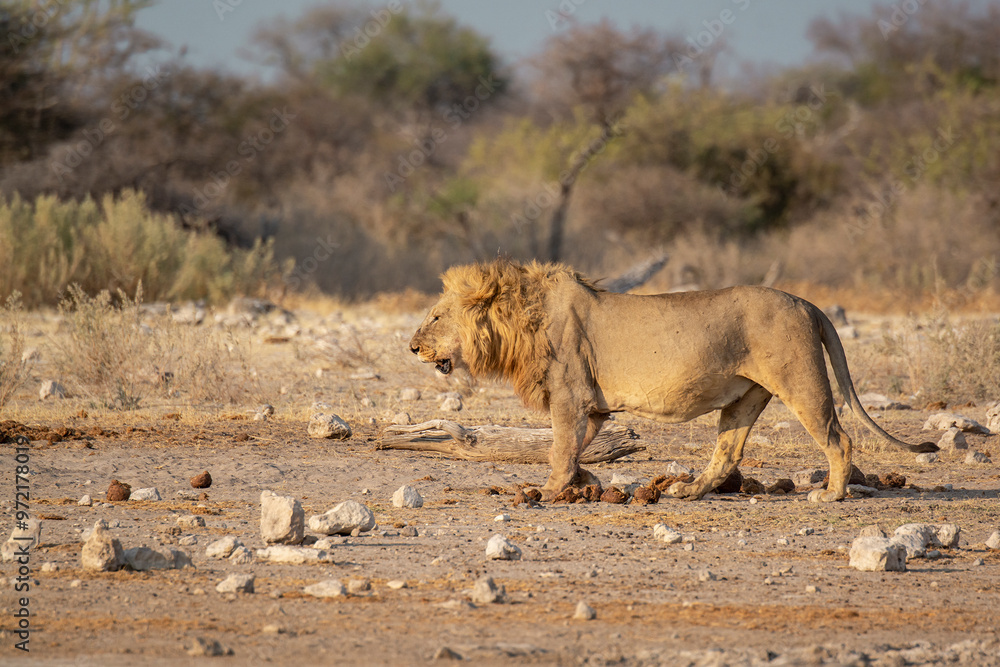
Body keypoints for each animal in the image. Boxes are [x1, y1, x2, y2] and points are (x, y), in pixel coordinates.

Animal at [409, 259, 937, 503]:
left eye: (435, 316)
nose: (412, 347)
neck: (519, 322)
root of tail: (806, 302)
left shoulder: (570, 396)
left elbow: (559, 449)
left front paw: (550, 490)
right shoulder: (593, 407)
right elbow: (576, 448)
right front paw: (585, 481)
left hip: (800, 381)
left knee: (838, 438)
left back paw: (830, 494)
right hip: (746, 398)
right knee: (727, 453)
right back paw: (688, 490)